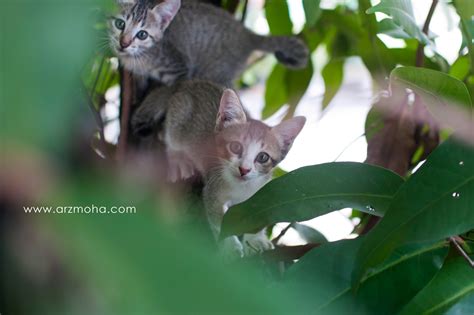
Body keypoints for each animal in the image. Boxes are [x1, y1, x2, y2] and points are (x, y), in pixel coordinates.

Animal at [111, 0, 312, 86]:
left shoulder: (179, 68)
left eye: (142, 34)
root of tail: (248, 33)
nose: (124, 43)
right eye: (120, 24)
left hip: (214, 72)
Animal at [131, 81, 306, 256]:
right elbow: (219, 221)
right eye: (235, 147)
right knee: (166, 135)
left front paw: (255, 239)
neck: (241, 188)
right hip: (179, 120)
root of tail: (186, 84)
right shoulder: (212, 191)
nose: (244, 169)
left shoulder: (261, 193)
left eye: (263, 157)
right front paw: (229, 246)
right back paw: (178, 159)